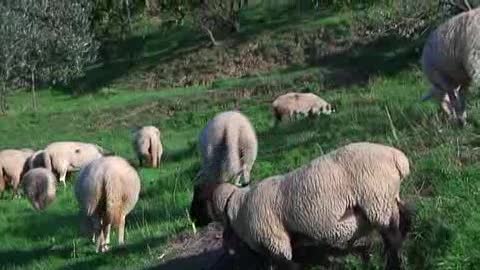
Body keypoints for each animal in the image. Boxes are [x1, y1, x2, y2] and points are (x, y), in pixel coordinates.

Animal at [191, 142, 412, 268]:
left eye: (197, 198)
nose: (192, 218)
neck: (236, 205)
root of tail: (396, 157)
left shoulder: (275, 241)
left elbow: (290, 266)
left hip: (376, 200)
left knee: (392, 236)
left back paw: (392, 263)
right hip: (387, 199)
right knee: (404, 219)